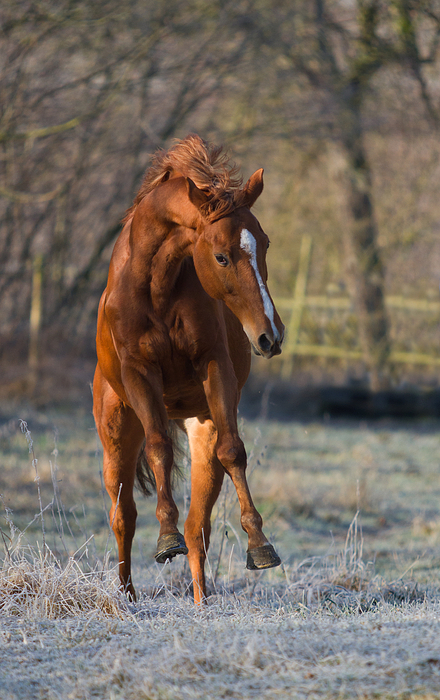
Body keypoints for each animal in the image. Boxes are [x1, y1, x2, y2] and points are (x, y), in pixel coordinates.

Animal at [94, 134, 284, 604]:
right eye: (221, 256)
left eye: (265, 243)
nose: (271, 335)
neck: (156, 284)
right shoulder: (139, 373)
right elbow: (159, 446)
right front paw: (166, 538)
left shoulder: (213, 367)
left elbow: (234, 451)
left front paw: (261, 546)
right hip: (116, 434)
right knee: (123, 516)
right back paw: (127, 597)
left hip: (203, 428)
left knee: (200, 525)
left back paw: (201, 600)